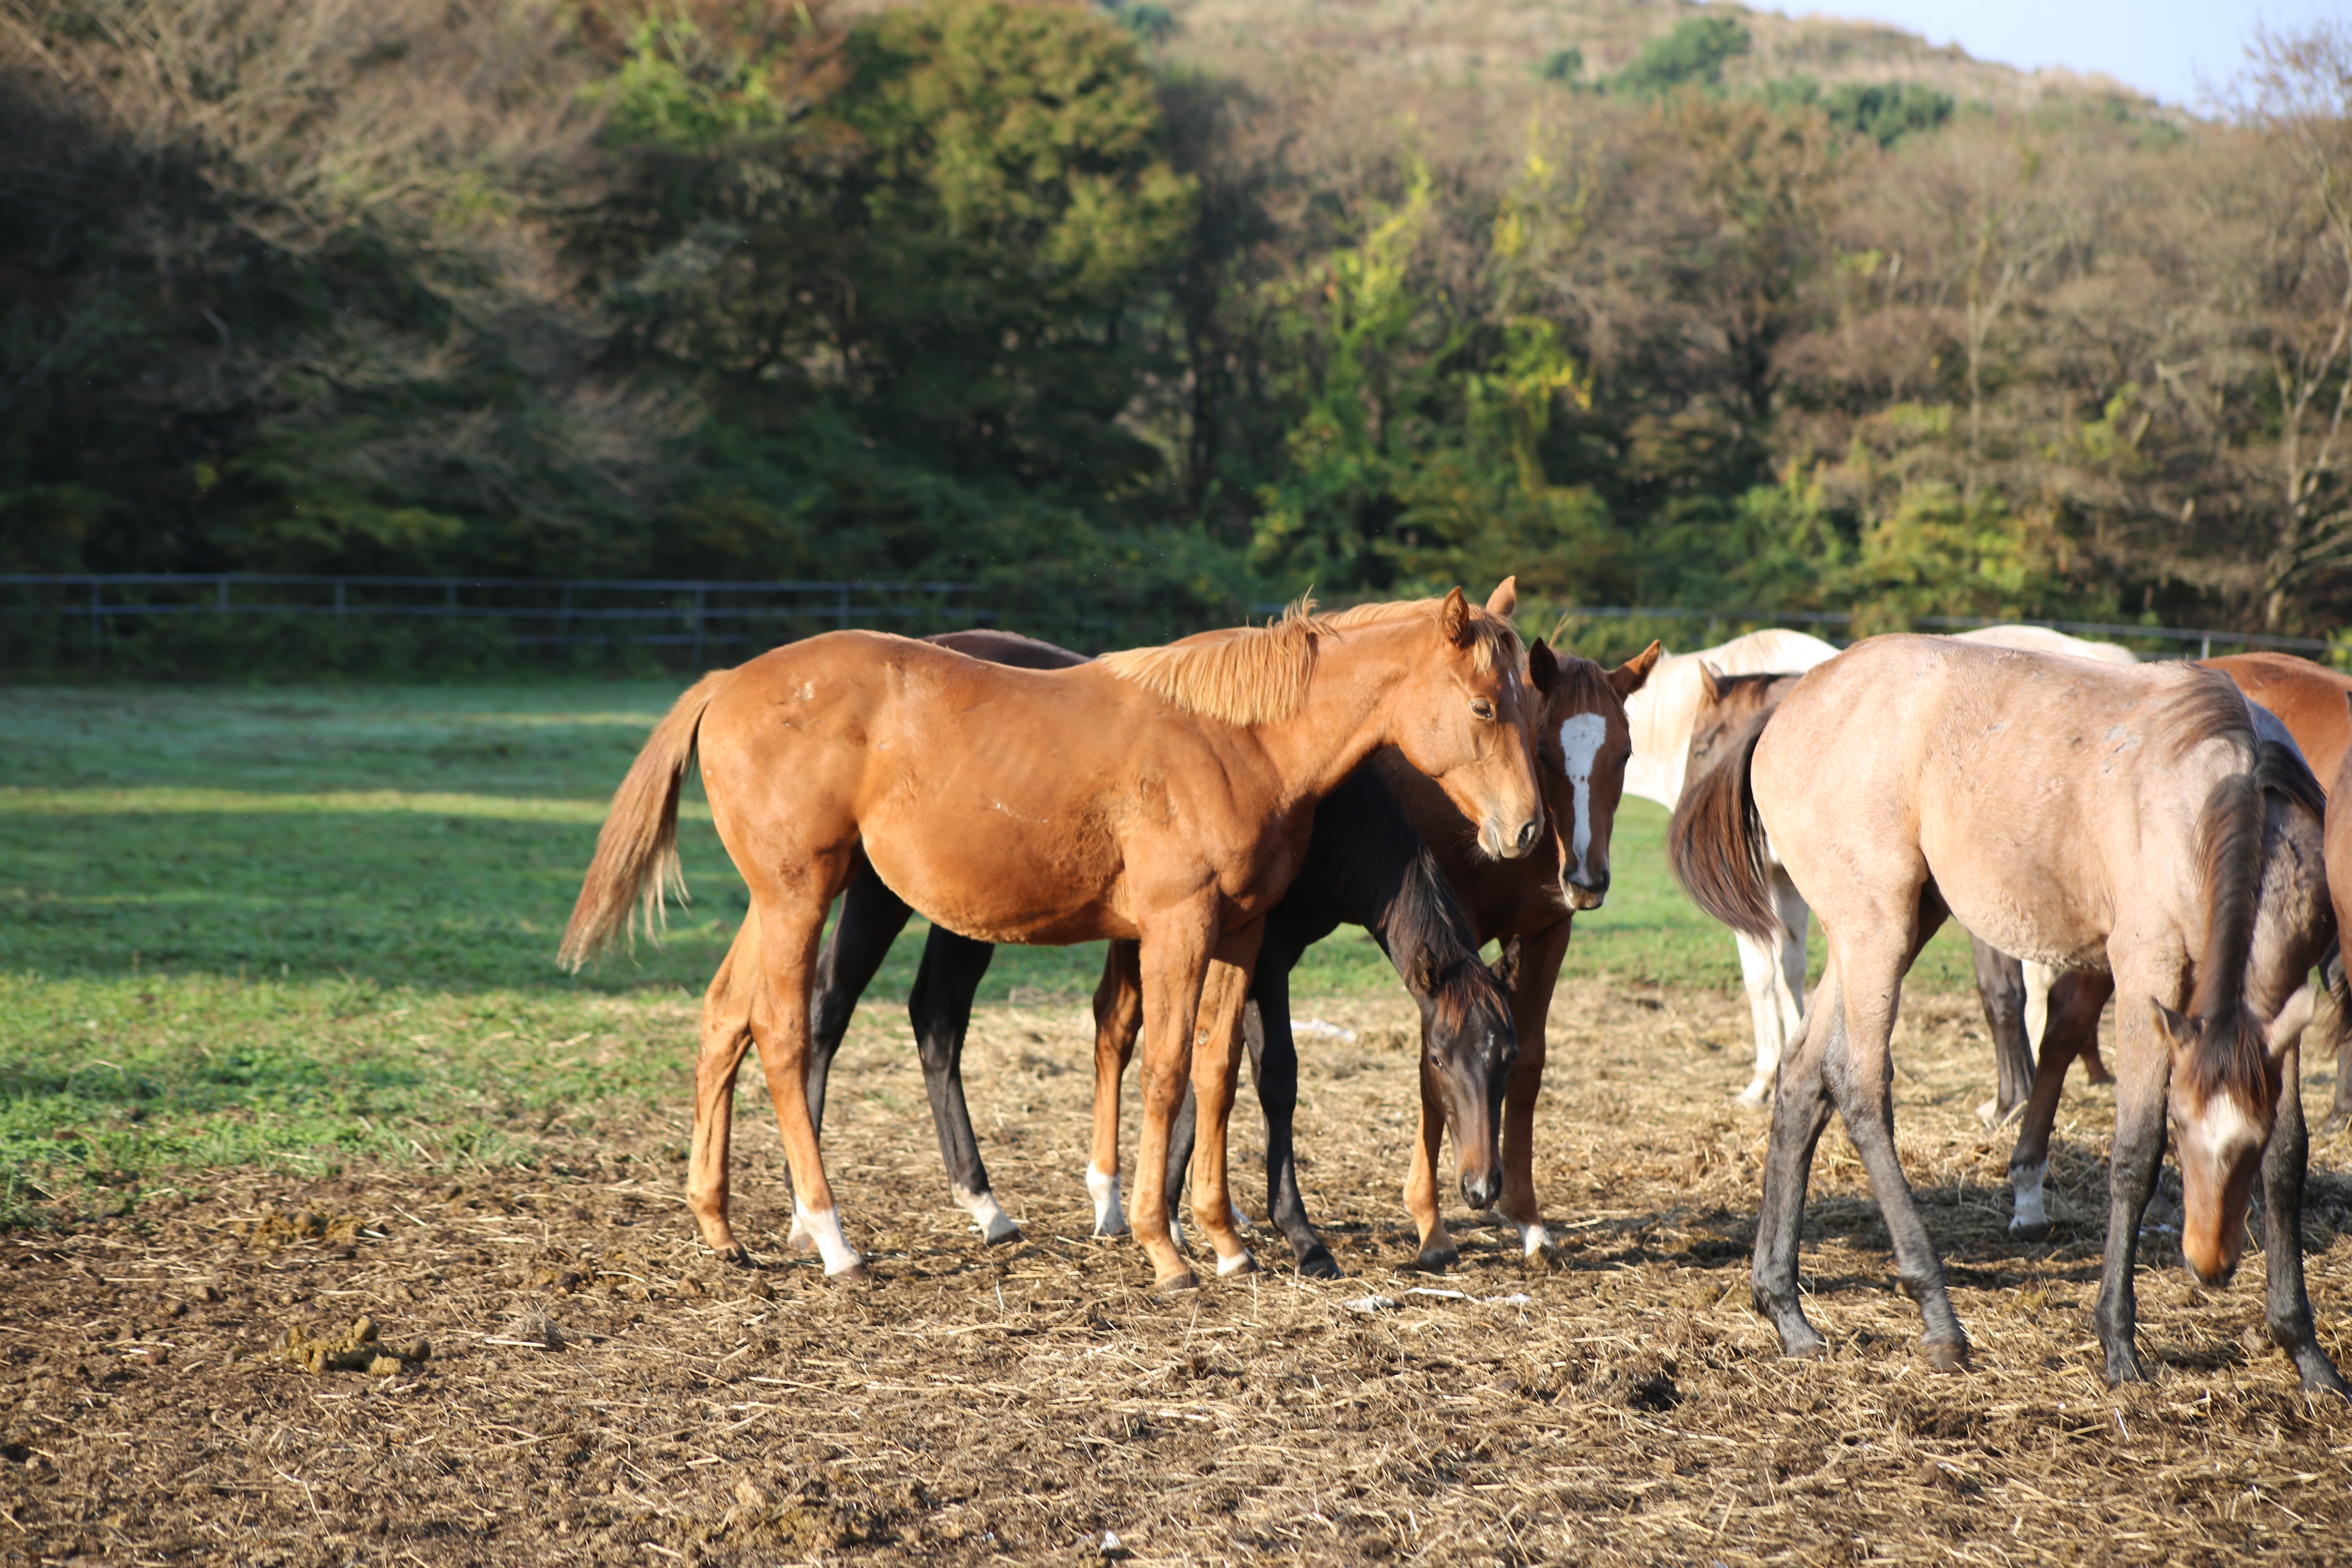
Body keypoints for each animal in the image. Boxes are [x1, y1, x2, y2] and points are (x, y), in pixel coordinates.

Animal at [555, 588, 1543, 1288]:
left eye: (1529, 703)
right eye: (1484, 708)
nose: (1528, 829)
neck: (1239, 741)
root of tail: (727, 686)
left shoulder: (1243, 934)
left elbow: (1219, 1075)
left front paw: (1226, 1239)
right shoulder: (1181, 929)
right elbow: (1170, 1072)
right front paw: (1165, 1247)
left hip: (777, 904)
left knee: (727, 1019)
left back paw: (719, 1226)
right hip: (807, 898)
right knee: (789, 1031)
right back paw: (833, 1237)